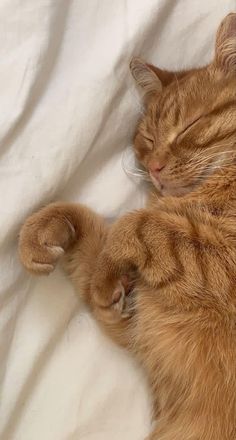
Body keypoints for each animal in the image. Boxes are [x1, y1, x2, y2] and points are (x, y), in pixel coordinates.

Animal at [19, 13, 236, 440]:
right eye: (148, 138)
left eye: (190, 126)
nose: (154, 168)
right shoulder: (139, 331)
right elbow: (92, 236)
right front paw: (49, 230)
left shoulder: (224, 258)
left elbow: (135, 225)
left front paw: (108, 273)